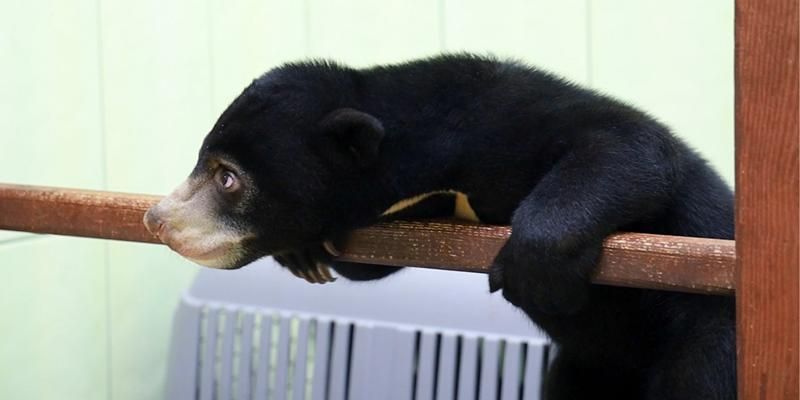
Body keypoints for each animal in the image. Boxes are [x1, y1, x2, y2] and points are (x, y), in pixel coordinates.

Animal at [143, 54, 736, 399]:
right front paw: (305, 255)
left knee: (702, 377)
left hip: (708, 329)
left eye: (227, 177)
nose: (158, 219)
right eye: (202, 160)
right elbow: (366, 264)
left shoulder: (503, 118)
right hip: (588, 369)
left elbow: (634, 146)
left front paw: (535, 266)